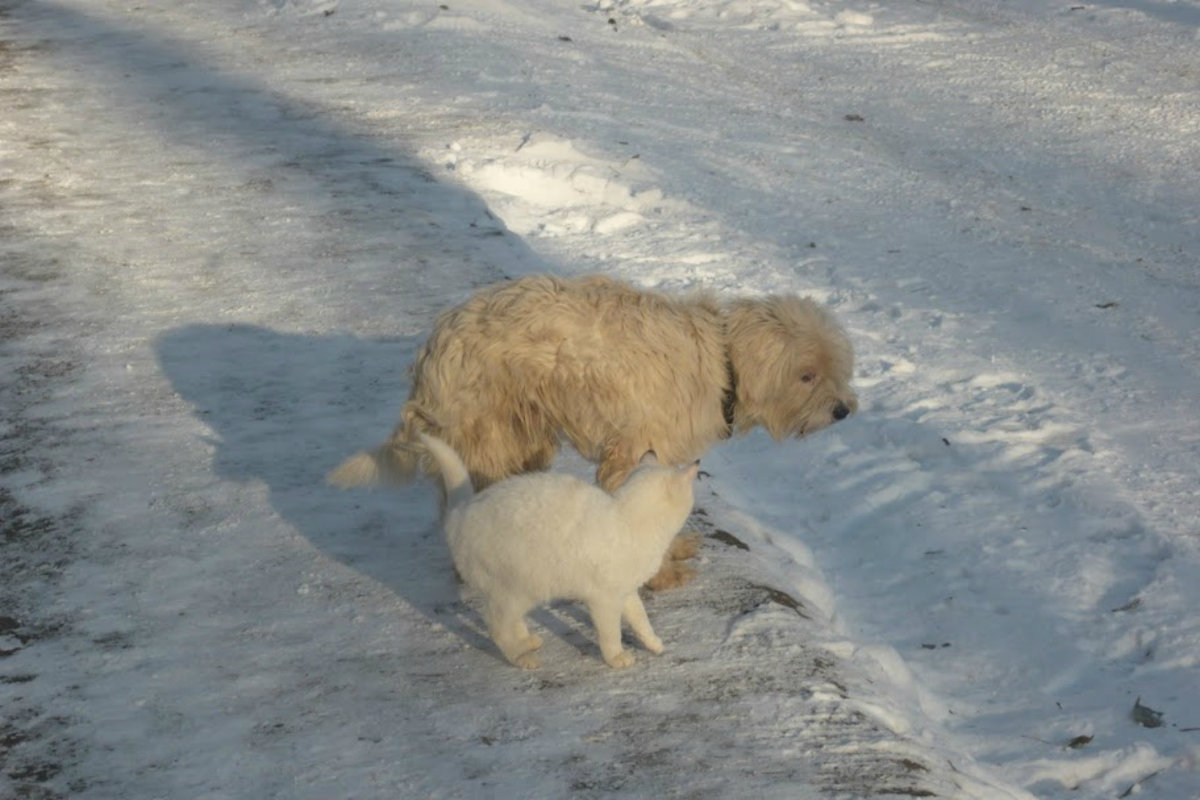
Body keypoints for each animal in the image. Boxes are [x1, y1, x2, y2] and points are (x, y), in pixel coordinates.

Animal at [326, 273, 854, 587]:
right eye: (807, 375)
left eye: (837, 368)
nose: (844, 410)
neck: (721, 363)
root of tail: (431, 351)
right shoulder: (635, 451)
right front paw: (659, 574)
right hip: (487, 435)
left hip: (522, 435)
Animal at [422, 431, 700, 671]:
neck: (627, 518)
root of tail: (459, 514)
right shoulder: (604, 600)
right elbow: (611, 633)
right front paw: (616, 658)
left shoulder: (626, 591)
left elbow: (641, 619)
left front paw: (654, 644)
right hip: (514, 589)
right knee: (496, 625)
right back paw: (523, 655)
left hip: (522, 591)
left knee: (509, 622)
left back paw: (527, 641)